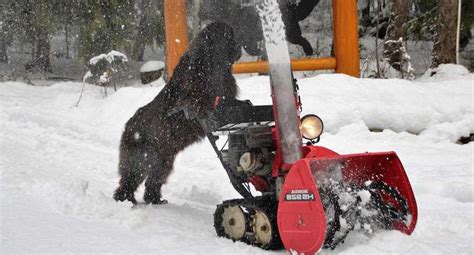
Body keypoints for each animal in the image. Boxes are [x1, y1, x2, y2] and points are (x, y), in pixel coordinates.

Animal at [114, 22, 241, 205]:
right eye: (228, 36)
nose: (240, 47)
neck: (209, 63)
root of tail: (128, 126)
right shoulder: (199, 100)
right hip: (142, 158)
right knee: (130, 180)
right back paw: (124, 200)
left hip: (163, 160)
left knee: (152, 181)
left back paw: (155, 200)